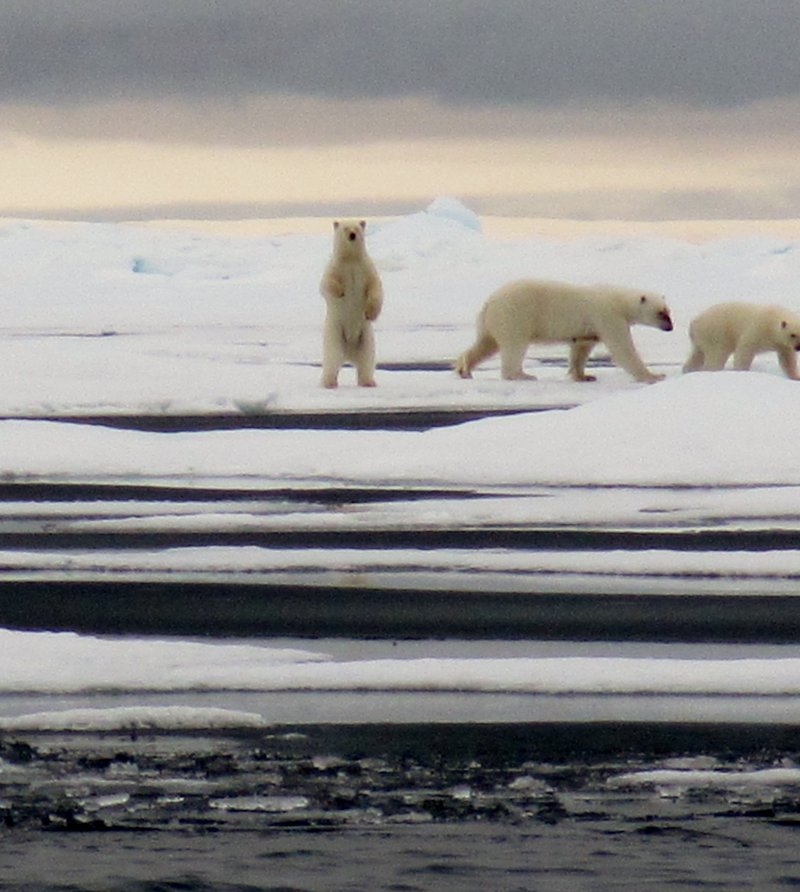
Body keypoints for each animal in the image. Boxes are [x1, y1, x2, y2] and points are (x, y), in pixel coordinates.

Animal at [318, 219, 382, 386]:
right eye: (346, 228)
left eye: (357, 228)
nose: (352, 235)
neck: (351, 260)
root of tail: (349, 354)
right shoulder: (335, 267)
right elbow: (326, 284)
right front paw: (341, 291)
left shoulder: (366, 268)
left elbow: (376, 288)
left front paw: (371, 314)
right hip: (335, 335)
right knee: (332, 359)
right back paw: (329, 382)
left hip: (366, 338)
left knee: (367, 360)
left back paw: (368, 382)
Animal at [454, 278, 672, 384]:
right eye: (660, 313)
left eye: (668, 311)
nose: (671, 327)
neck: (619, 300)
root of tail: (490, 301)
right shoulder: (607, 316)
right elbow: (622, 349)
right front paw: (654, 376)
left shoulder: (588, 328)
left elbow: (581, 348)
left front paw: (584, 376)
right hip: (516, 315)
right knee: (514, 346)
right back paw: (522, 375)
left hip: (493, 320)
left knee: (486, 343)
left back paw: (464, 369)